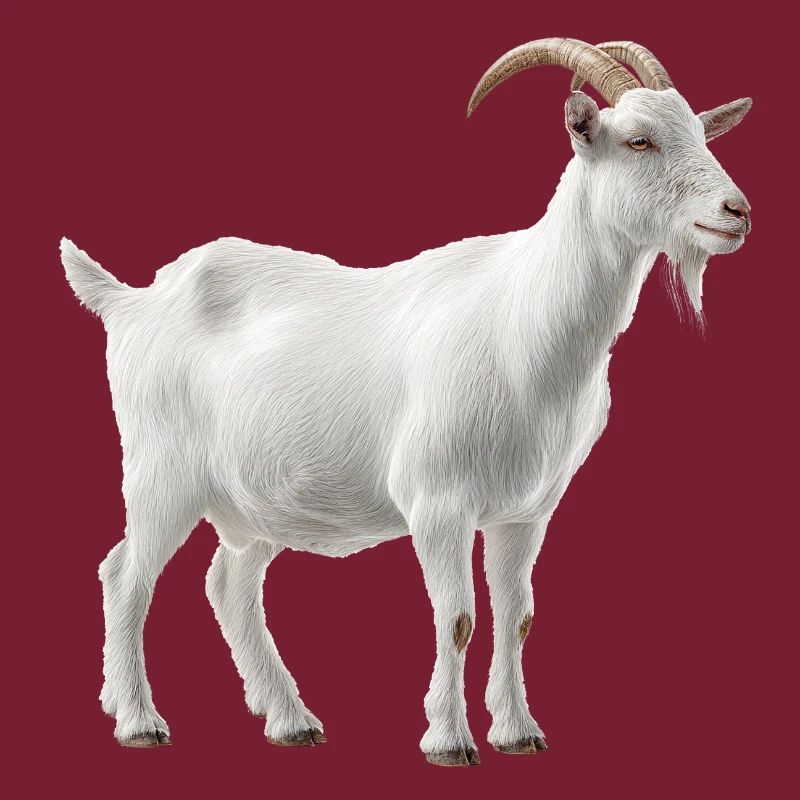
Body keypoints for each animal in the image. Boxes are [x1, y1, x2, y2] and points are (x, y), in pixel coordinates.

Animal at [62, 38, 751, 766]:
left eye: (702, 132)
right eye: (639, 140)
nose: (736, 212)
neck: (522, 320)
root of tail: (130, 301)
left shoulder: (524, 511)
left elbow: (518, 617)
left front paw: (518, 732)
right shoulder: (438, 500)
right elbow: (457, 618)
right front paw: (449, 740)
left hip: (254, 501)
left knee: (229, 583)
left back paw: (290, 719)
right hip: (160, 472)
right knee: (126, 577)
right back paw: (138, 720)